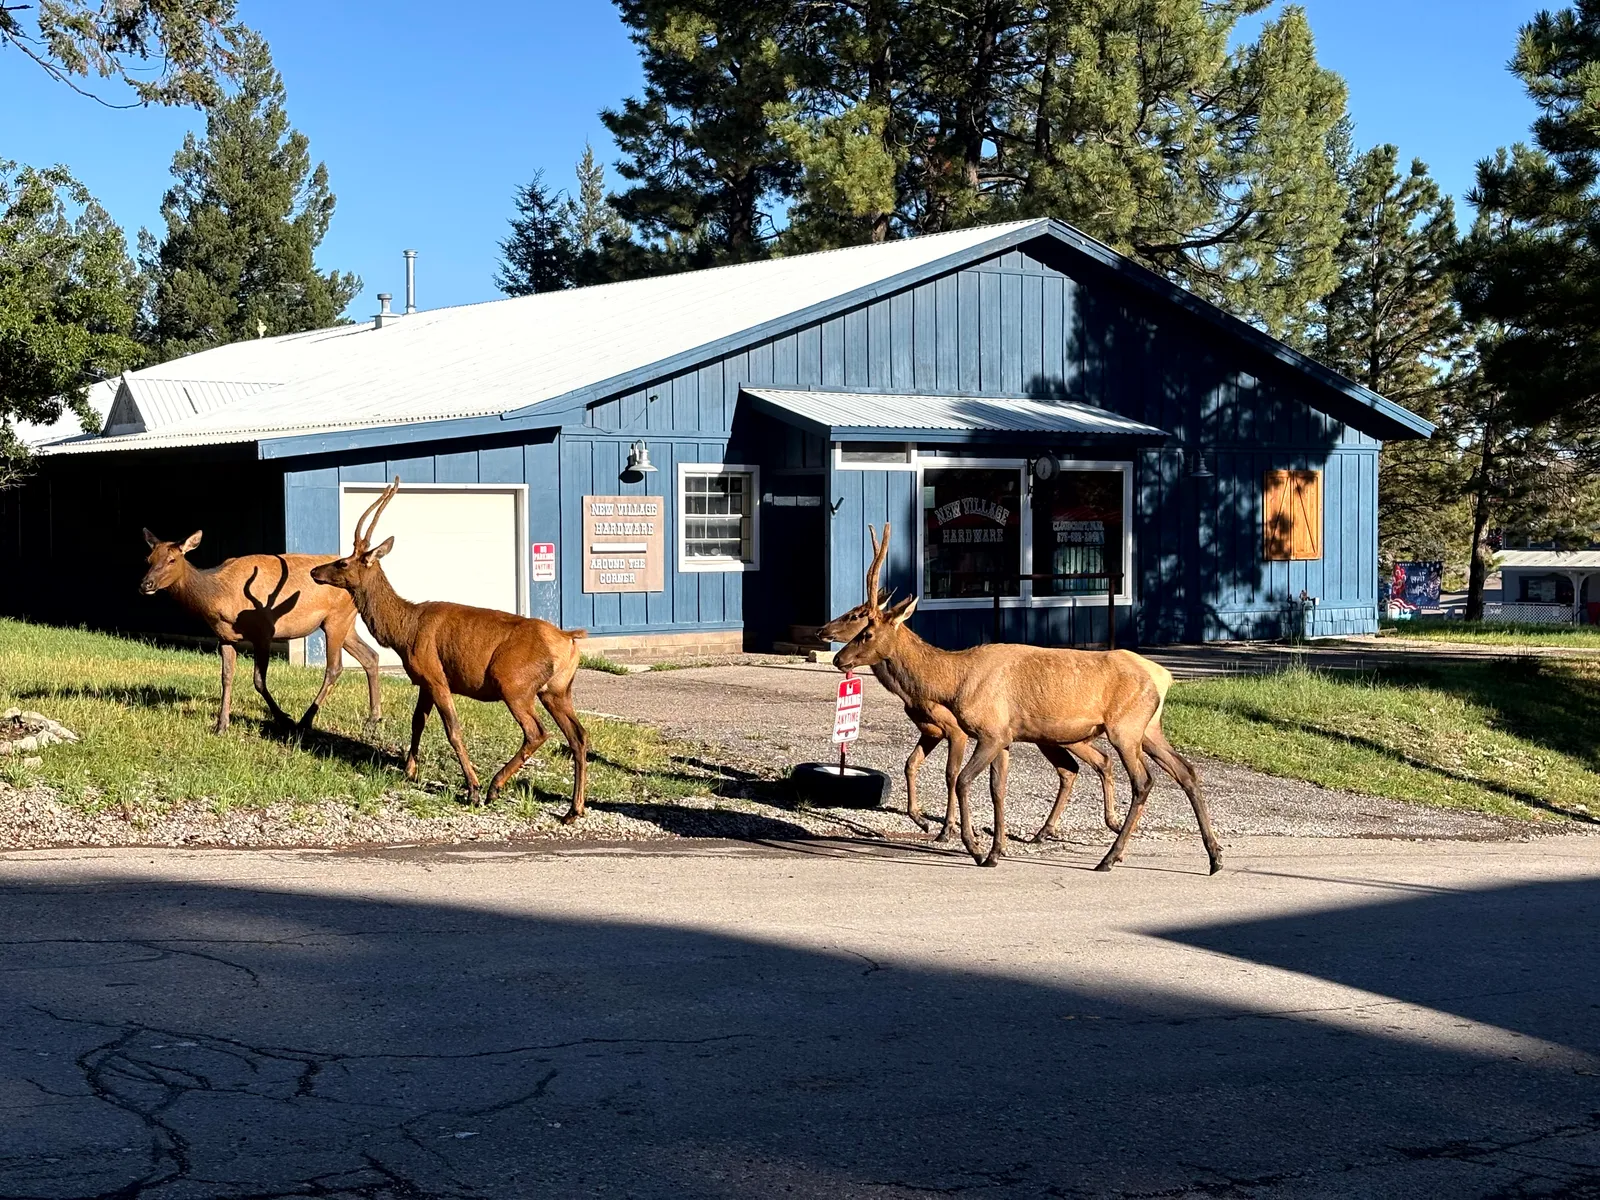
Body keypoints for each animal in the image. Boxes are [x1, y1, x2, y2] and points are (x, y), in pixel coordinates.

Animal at [139, 530, 383, 734]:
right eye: (148, 559)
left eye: (172, 560)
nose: (145, 584)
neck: (219, 598)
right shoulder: (224, 637)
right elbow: (226, 677)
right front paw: (221, 725)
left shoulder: (264, 632)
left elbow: (258, 680)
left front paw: (284, 718)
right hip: (345, 624)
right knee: (370, 656)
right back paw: (373, 718)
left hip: (336, 619)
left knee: (335, 667)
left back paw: (306, 720)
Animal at [309, 478, 590, 819]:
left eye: (343, 562)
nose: (314, 572)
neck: (405, 631)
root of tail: (568, 640)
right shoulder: (423, 680)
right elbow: (417, 722)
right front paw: (410, 770)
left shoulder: (436, 675)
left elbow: (452, 730)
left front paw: (472, 788)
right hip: (557, 690)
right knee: (579, 736)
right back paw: (574, 810)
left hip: (515, 683)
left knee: (538, 732)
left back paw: (495, 786)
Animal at [816, 568, 1133, 843]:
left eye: (858, 619)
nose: (823, 633)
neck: (920, 690)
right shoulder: (930, 730)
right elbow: (910, 764)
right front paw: (922, 819)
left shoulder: (955, 730)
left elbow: (950, 774)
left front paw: (948, 828)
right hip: (1056, 738)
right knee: (1084, 765)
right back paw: (1050, 830)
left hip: (1065, 734)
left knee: (1090, 763)